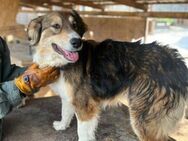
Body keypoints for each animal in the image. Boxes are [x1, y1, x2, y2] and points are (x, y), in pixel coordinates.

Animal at [27, 10, 188, 141]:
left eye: (75, 26)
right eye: (56, 26)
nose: (77, 42)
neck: (62, 63)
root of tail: (176, 61)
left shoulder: (85, 105)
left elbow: (82, 132)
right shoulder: (70, 96)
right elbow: (65, 112)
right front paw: (62, 125)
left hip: (144, 117)